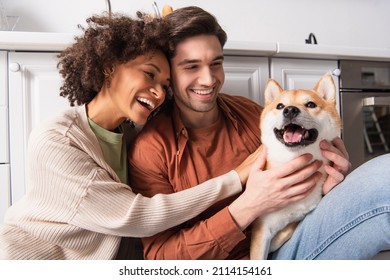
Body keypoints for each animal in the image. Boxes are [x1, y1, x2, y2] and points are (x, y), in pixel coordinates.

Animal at [250, 73, 342, 260]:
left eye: (310, 104)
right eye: (280, 106)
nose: (290, 110)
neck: (293, 159)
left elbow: (286, 230)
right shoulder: (261, 229)